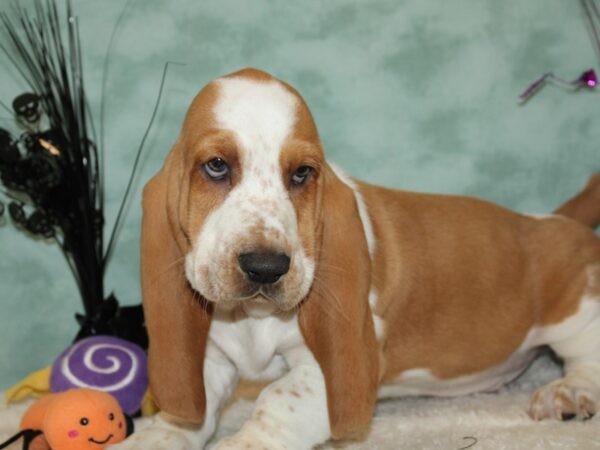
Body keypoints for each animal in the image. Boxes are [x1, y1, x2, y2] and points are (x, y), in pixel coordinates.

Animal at [110, 67, 600, 450]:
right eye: (215, 166)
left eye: (302, 174)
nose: (266, 267)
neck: (251, 318)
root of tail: (552, 220)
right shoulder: (209, 360)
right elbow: (191, 411)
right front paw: (154, 437)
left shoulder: (324, 370)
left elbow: (276, 401)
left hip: (575, 310)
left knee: (585, 354)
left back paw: (568, 392)